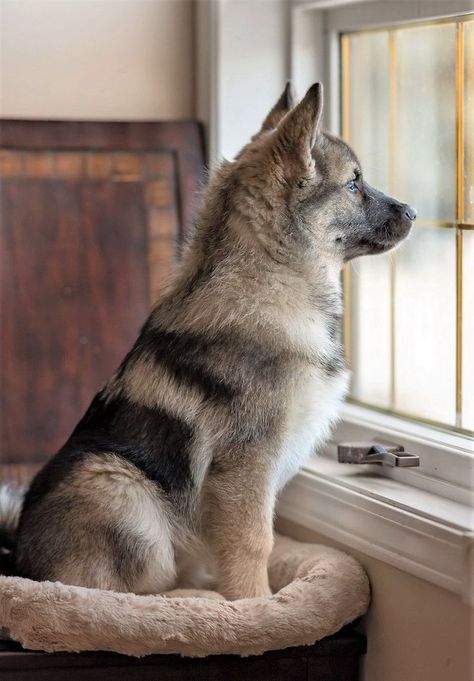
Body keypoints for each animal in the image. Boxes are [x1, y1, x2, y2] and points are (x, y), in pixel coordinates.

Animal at [0, 82, 414, 596]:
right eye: (354, 185)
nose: (414, 212)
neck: (271, 275)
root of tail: (16, 559)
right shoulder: (245, 470)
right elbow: (255, 546)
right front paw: (258, 606)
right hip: (119, 487)